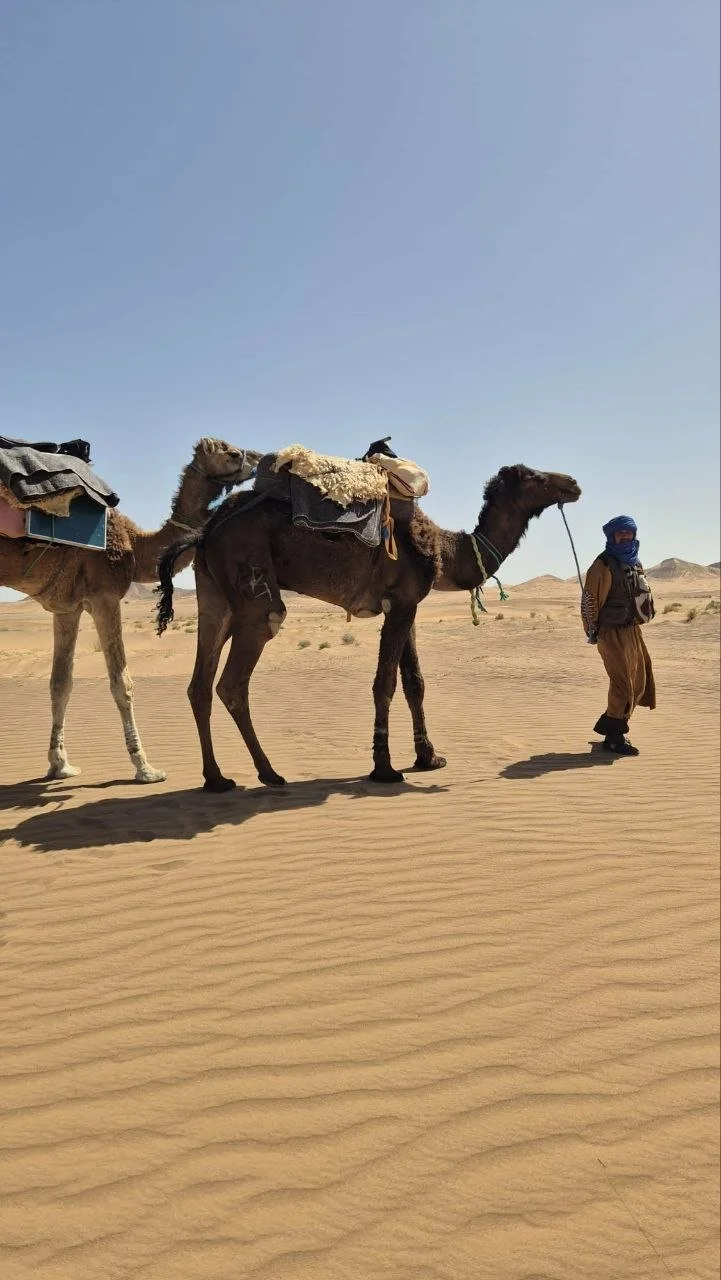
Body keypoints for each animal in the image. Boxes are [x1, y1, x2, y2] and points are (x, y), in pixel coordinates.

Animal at [1, 438, 261, 783]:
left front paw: (60, 765)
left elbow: (61, 683)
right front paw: (146, 768)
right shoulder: (105, 596)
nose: (259, 458)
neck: (137, 545)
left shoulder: (67, 607)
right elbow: (121, 684)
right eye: (230, 452)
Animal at [155, 460, 581, 789]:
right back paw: (269, 772)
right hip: (252, 589)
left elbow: (415, 683)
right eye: (535, 477)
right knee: (234, 679)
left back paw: (216, 779)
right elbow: (385, 684)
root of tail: (206, 531)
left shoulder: (406, 606)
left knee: (199, 684)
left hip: (213, 596)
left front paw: (429, 757)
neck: (444, 551)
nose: (573, 483)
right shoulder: (401, 603)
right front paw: (384, 768)